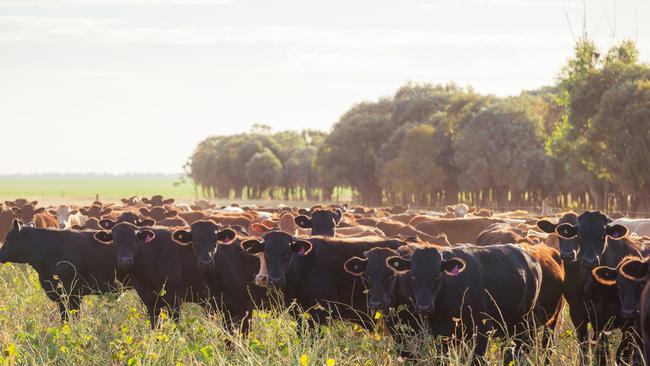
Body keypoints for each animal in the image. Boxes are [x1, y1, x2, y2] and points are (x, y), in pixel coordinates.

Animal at [382, 243, 540, 364]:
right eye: (413, 276)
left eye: (436, 276)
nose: (424, 307)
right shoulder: (441, 335)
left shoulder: (481, 331)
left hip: (523, 323)